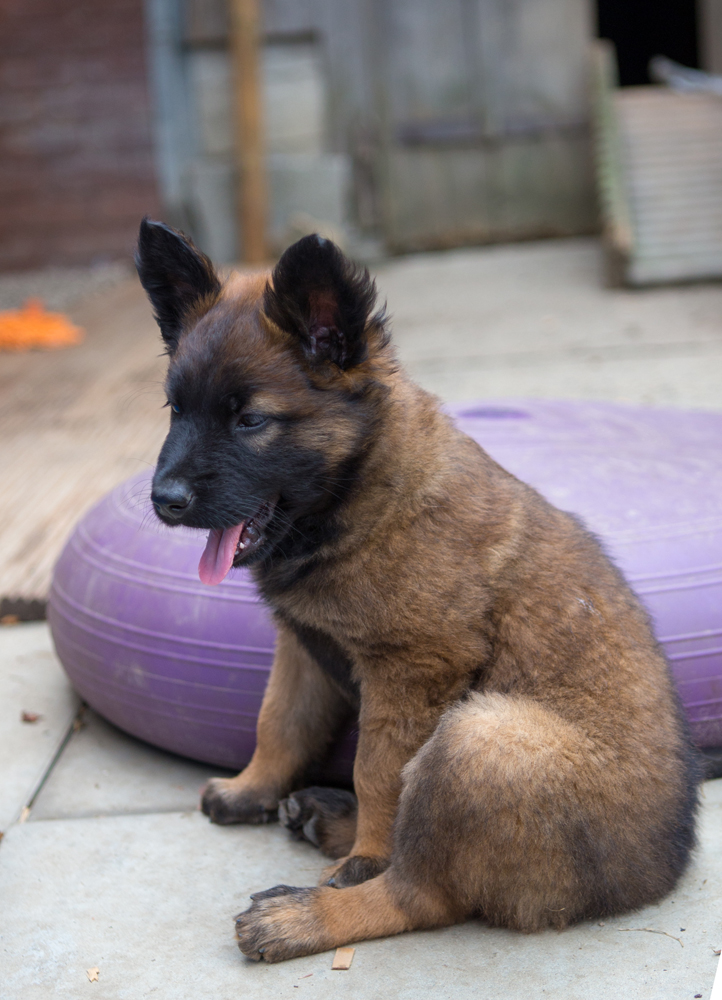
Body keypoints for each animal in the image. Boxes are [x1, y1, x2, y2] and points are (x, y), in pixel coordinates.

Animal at [135, 217, 696, 960]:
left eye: (251, 420)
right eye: (176, 410)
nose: (164, 501)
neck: (362, 495)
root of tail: (658, 875)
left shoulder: (414, 665)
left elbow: (377, 769)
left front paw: (362, 852)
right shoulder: (302, 644)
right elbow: (278, 722)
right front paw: (251, 788)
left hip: (480, 737)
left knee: (422, 892)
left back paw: (310, 909)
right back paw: (322, 821)